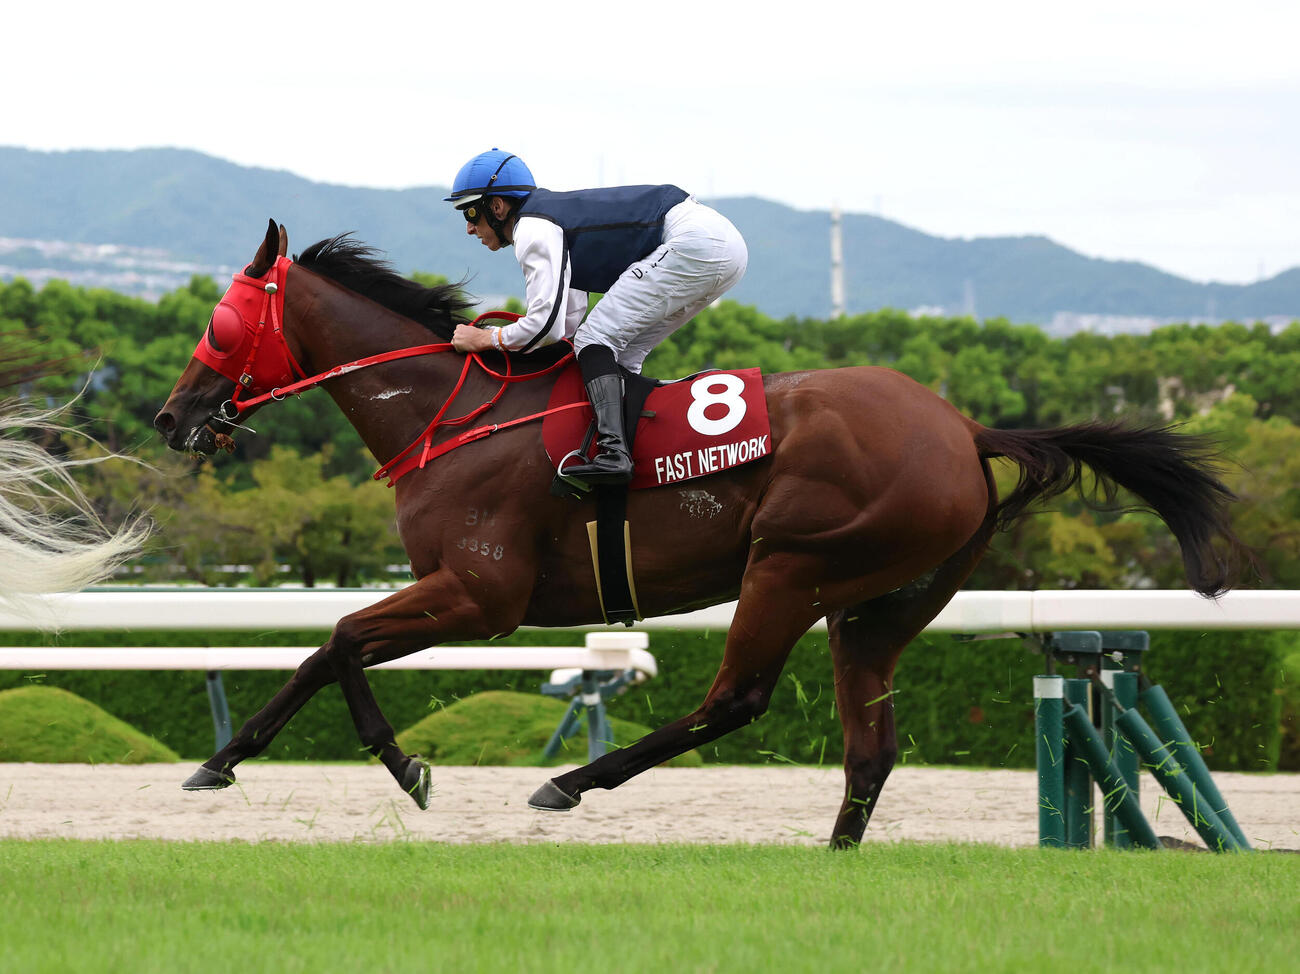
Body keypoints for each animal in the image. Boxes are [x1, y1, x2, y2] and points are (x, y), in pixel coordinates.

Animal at [153, 220, 1245, 848]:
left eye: (220, 321)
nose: (173, 415)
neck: (449, 412)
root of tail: (964, 428)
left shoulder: (481, 593)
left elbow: (339, 640)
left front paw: (406, 767)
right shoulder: (458, 594)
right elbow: (322, 648)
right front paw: (220, 761)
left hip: (794, 566)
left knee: (738, 697)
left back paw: (570, 783)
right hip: (880, 605)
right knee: (871, 744)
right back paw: (834, 855)